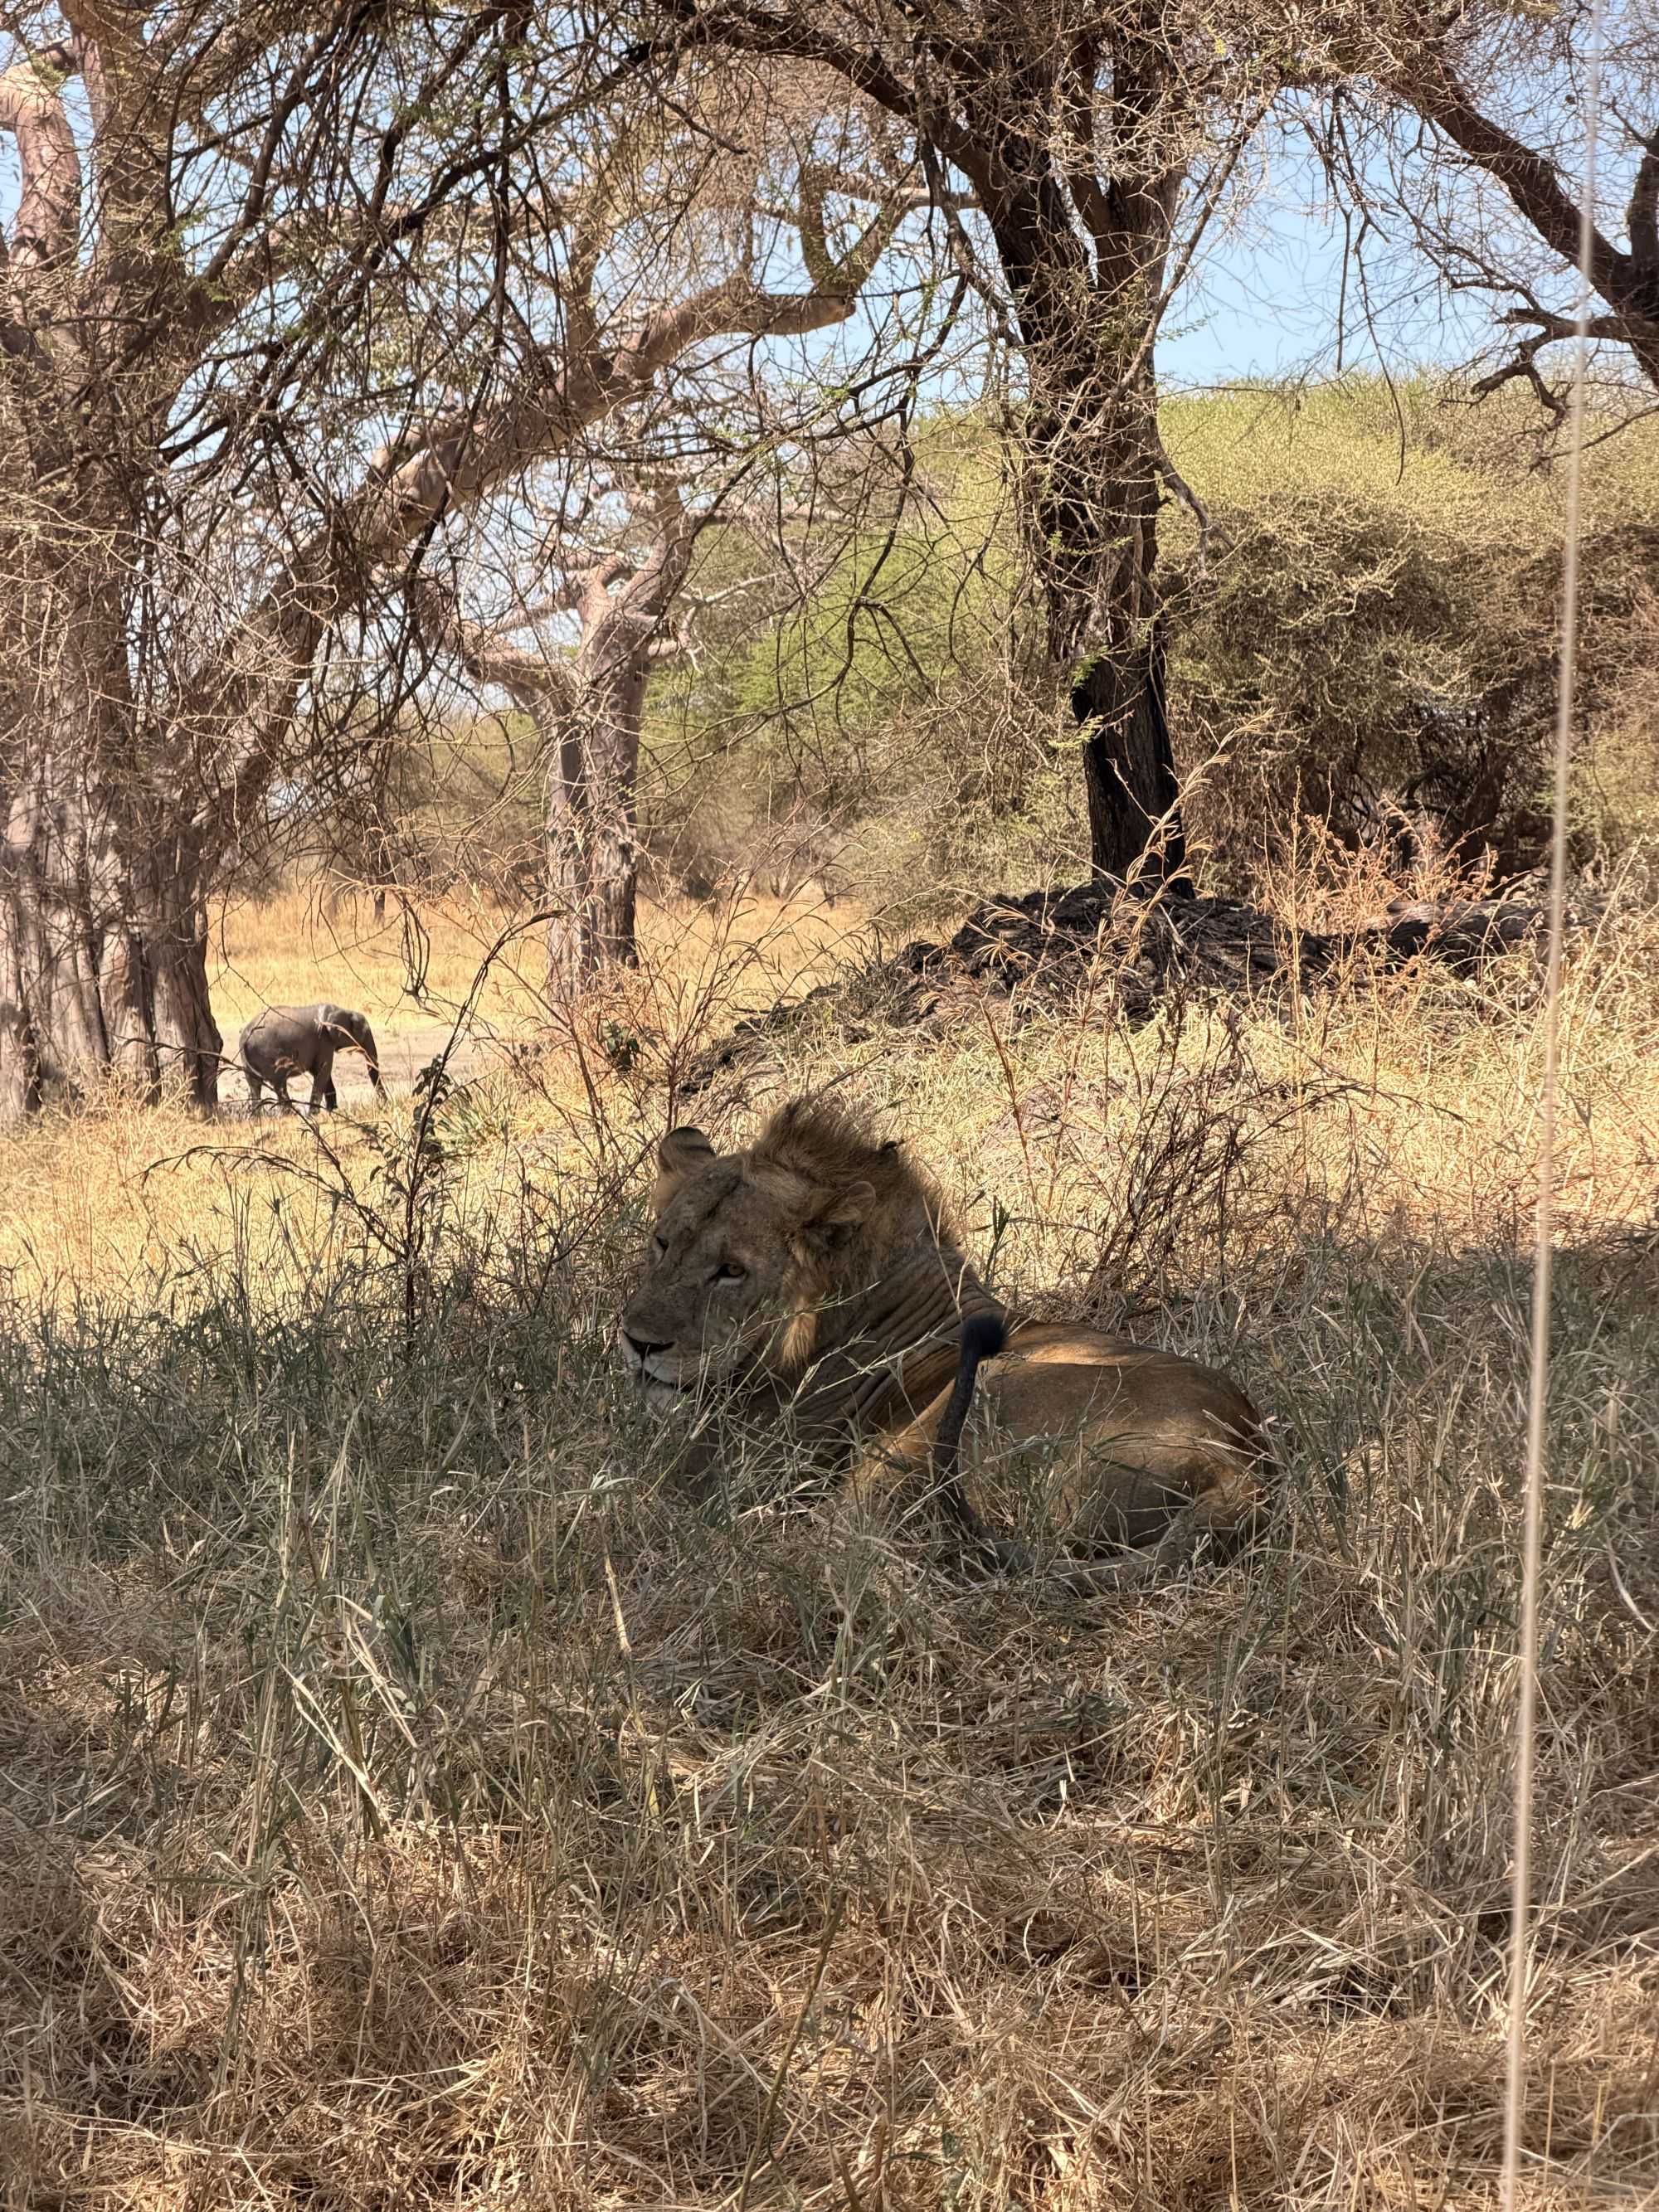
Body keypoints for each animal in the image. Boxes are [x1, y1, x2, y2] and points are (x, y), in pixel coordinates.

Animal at [617, 1100, 1273, 1588]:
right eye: (662, 1243)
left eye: (731, 1270)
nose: (638, 1342)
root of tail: (1242, 1468)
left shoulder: (732, 1474)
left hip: (954, 1418)